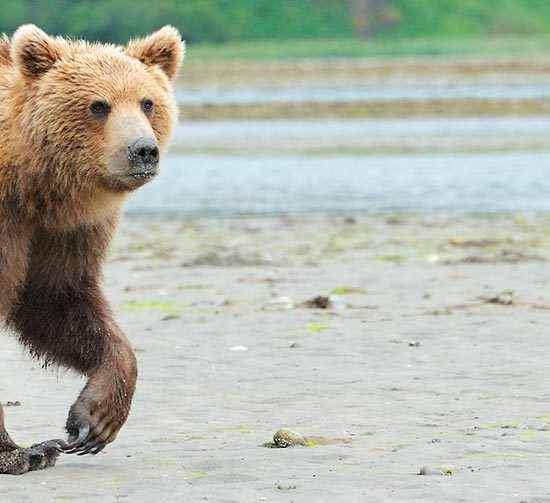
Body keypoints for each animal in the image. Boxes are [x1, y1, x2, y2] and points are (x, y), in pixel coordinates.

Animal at [0, 25, 185, 474]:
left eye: (147, 102)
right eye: (98, 105)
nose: (142, 150)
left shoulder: (62, 231)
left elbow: (57, 299)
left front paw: (95, 419)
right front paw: (18, 452)